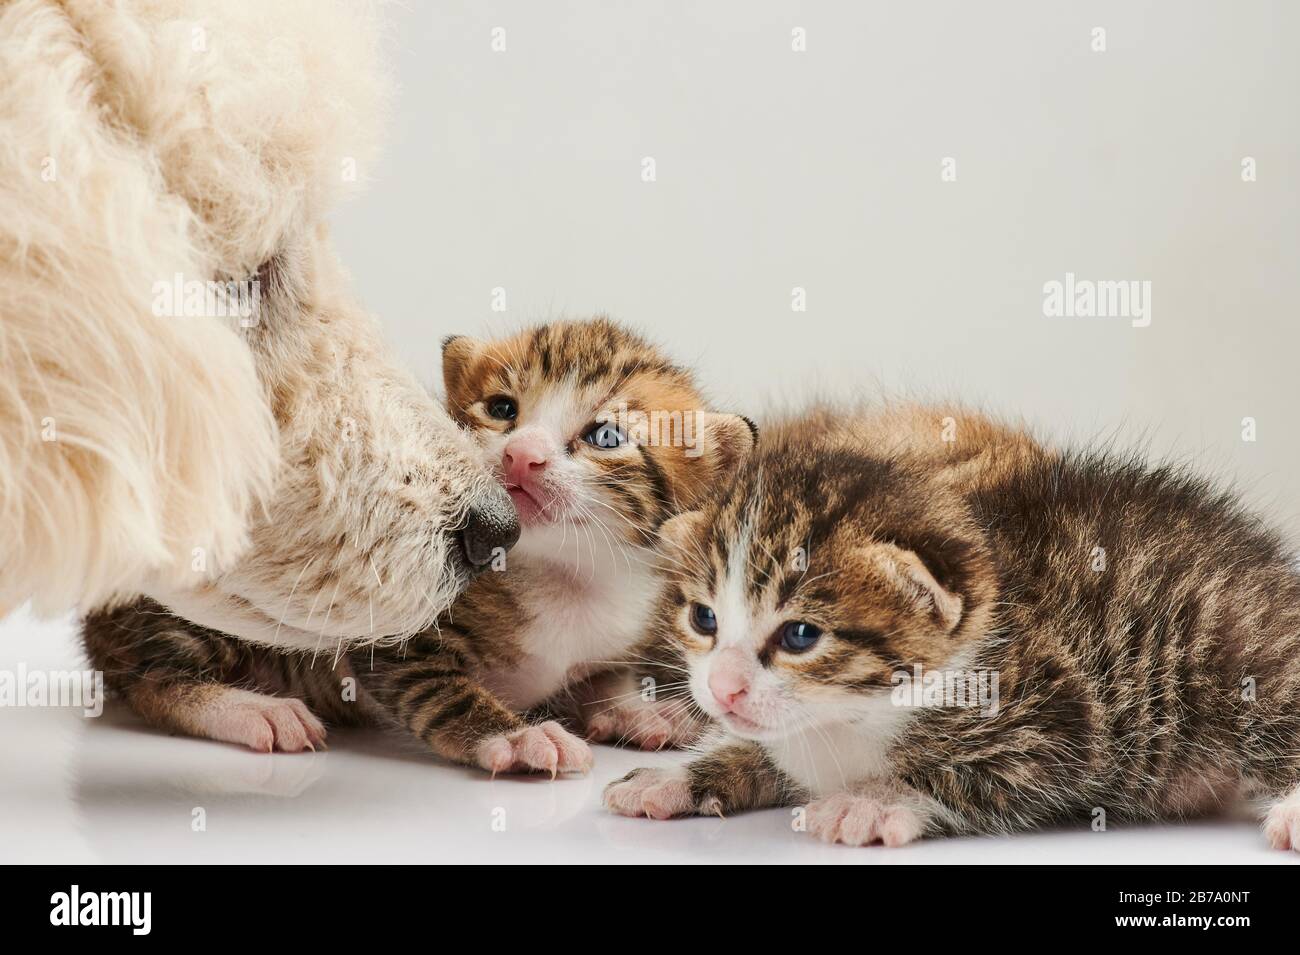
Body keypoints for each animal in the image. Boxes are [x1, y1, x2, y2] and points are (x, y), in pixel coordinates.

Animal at [83, 317, 754, 774]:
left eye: (606, 436)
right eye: (502, 409)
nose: (521, 455)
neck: (565, 574)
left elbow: (609, 676)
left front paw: (640, 709)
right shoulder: (400, 630)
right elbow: (444, 693)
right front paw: (518, 737)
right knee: (147, 677)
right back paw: (252, 710)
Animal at [600, 405, 1300, 852]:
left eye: (800, 636)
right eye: (704, 618)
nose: (722, 689)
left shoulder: (1060, 723)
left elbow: (969, 773)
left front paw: (870, 799)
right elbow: (761, 749)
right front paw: (680, 776)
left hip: (1236, 647)